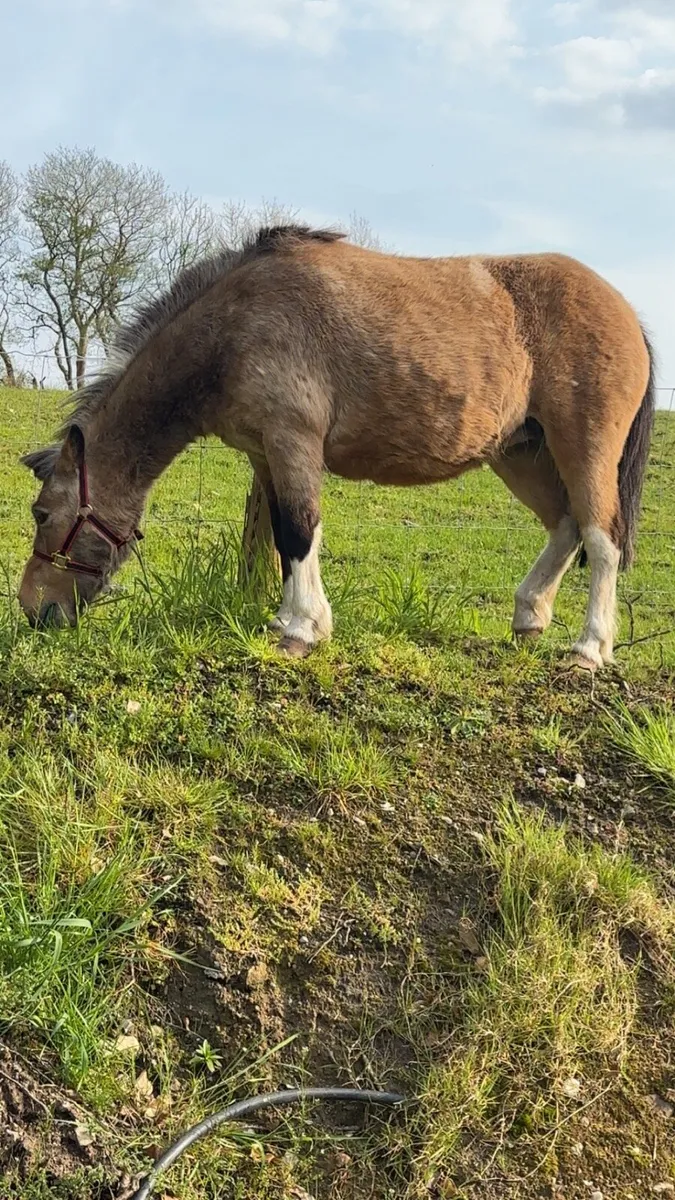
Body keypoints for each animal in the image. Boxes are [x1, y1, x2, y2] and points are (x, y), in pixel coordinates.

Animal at [18, 225, 655, 670]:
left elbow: (301, 530)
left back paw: (589, 649)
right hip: (522, 454)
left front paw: (303, 630)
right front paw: (284, 620)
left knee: (602, 539)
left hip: (584, 447)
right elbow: (282, 535)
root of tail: (625, 310)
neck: (235, 324)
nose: (31, 608)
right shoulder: (265, 454)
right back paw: (529, 616)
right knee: (566, 527)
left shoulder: (293, 440)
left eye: (42, 513)